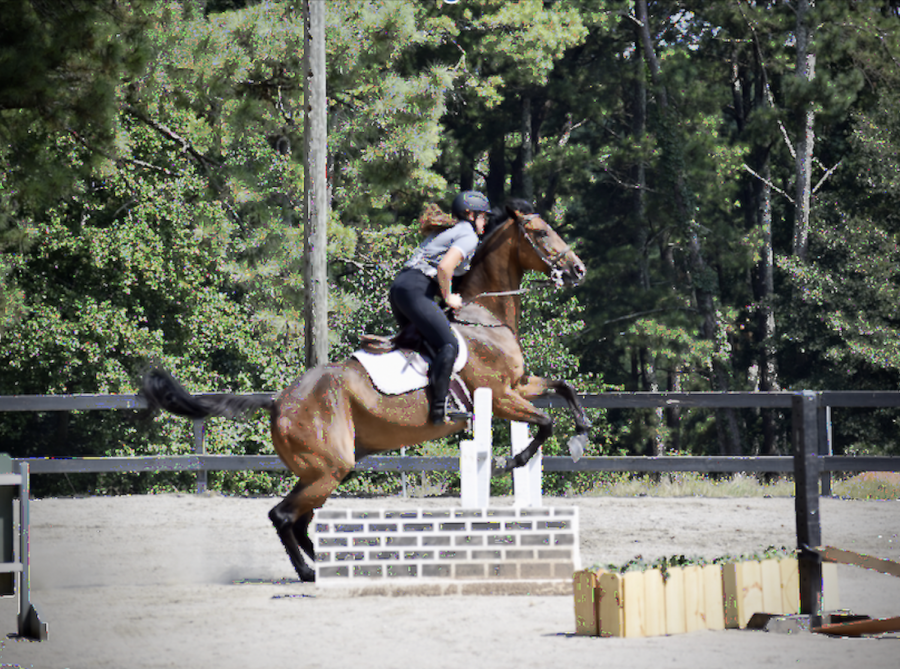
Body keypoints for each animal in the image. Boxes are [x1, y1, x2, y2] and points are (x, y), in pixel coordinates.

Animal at [141, 204, 592, 580]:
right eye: (541, 231)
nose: (578, 270)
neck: (484, 316)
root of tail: (279, 400)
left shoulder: (521, 385)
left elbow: (564, 390)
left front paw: (580, 436)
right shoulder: (499, 397)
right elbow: (546, 422)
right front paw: (514, 460)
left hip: (322, 471)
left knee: (299, 519)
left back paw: (334, 563)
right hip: (329, 468)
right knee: (283, 516)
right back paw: (309, 572)